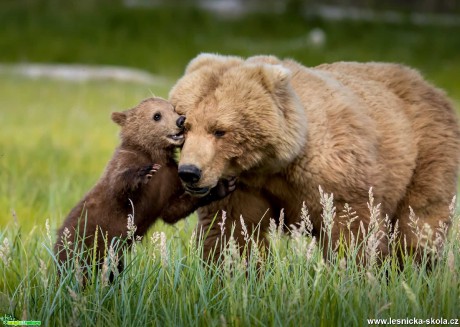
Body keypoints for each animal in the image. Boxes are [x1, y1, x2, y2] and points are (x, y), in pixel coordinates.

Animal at [170, 54, 460, 264]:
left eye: (219, 130)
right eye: (184, 125)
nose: (190, 172)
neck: (271, 164)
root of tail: (428, 84)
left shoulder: (335, 174)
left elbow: (352, 230)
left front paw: (354, 269)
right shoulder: (242, 186)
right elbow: (232, 233)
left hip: (426, 152)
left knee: (419, 222)